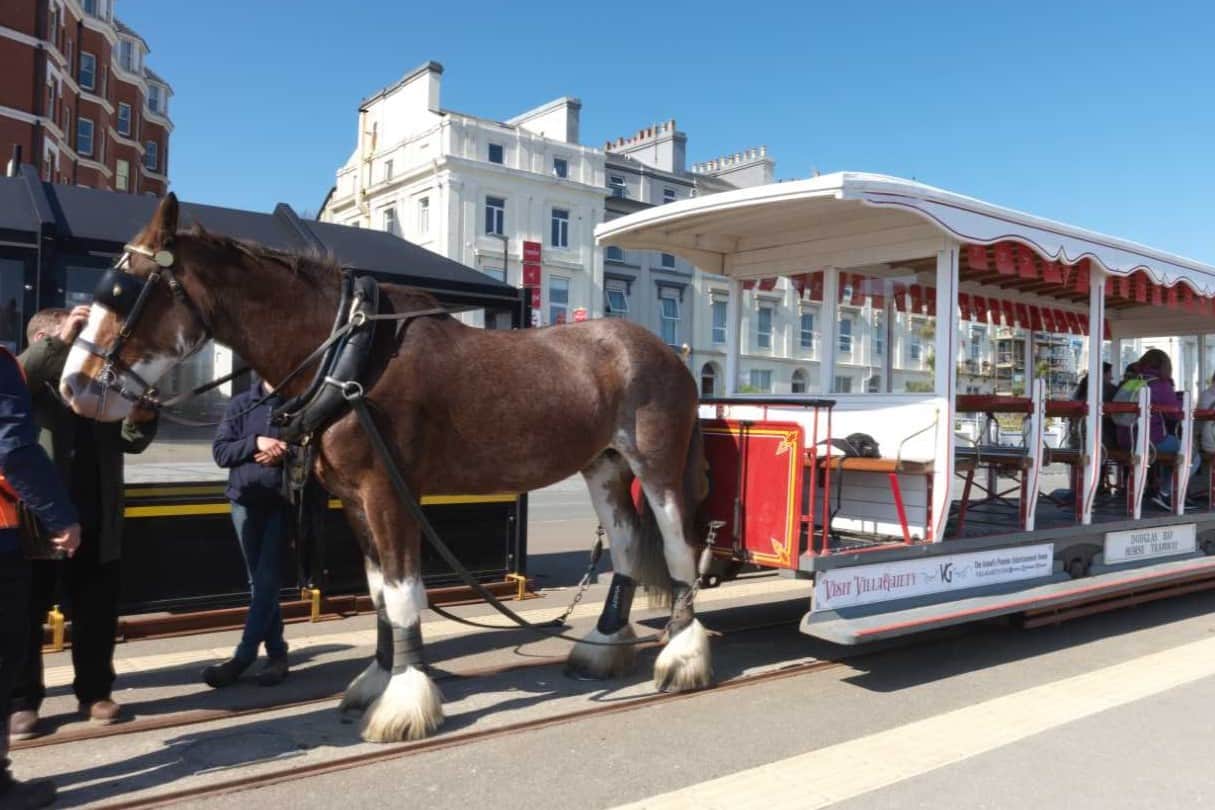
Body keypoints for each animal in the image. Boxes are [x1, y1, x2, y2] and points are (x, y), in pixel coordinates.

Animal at [59, 194, 713, 742]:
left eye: (124, 290)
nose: (74, 386)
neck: (348, 356)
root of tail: (667, 353)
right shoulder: (353, 498)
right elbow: (377, 593)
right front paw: (376, 679)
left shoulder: (388, 492)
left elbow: (402, 594)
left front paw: (404, 701)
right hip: (603, 464)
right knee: (625, 546)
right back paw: (603, 644)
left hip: (657, 463)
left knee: (679, 548)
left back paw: (682, 657)